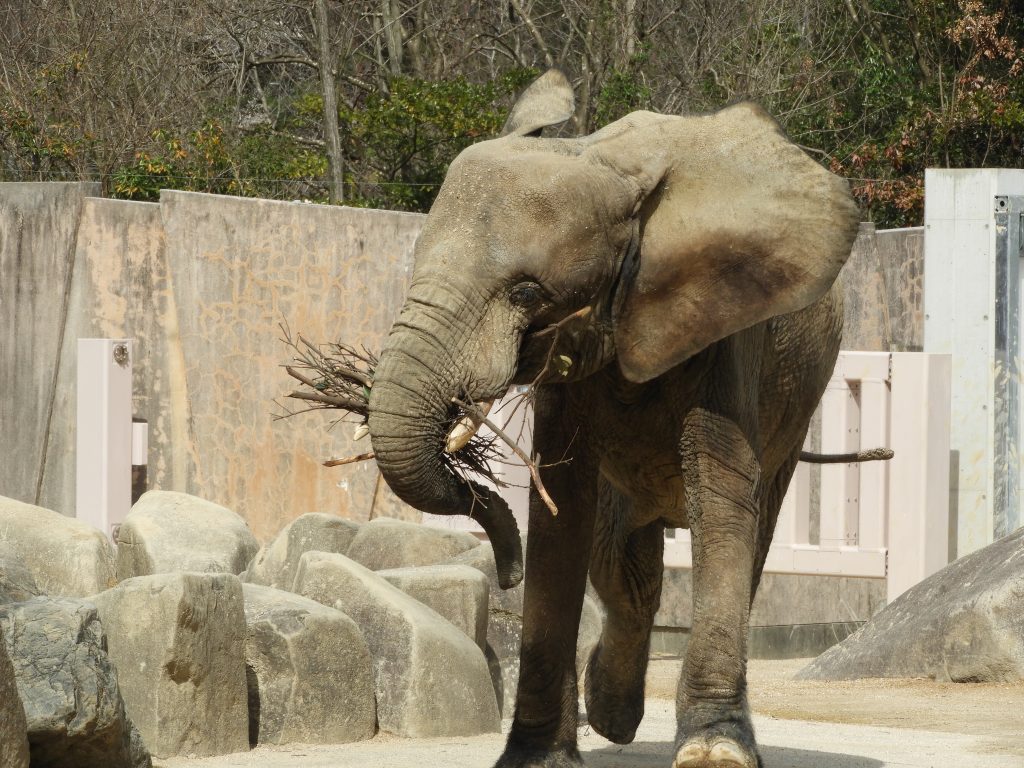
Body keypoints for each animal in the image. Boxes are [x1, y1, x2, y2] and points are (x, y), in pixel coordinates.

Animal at [364, 72, 860, 768]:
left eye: (527, 293)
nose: (506, 572)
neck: (603, 163)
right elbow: (560, 509)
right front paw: (536, 759)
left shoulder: (728, 324)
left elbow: (722, 496)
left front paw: (715, 752)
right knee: (622, 561)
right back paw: (614, 715)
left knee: (748, 531)